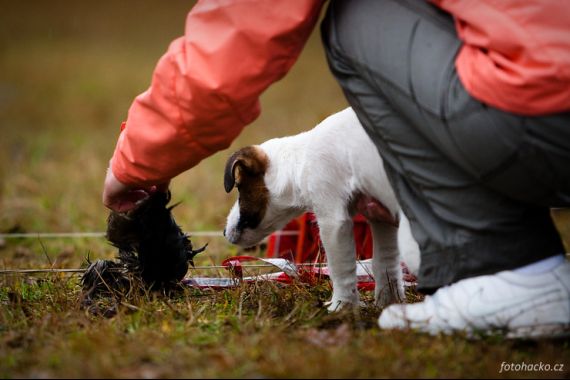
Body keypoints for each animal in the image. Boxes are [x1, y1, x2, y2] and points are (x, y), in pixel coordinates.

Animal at [222, 107, 418, 312]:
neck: (302, 160)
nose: (224, 232)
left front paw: (341, 306)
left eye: (239, 187)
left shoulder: (333, 220)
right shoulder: (380, 218)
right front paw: (389, 304)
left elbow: (341, 268)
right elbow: (385, 263)